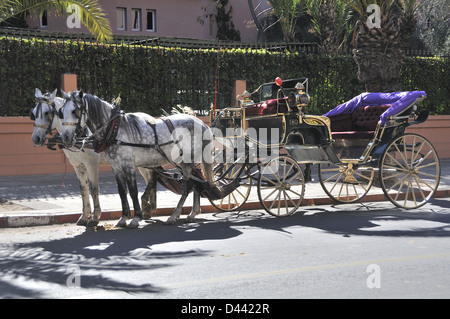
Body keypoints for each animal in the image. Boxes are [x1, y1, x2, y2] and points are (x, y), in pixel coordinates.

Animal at [30, 89, 156, 226]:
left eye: (46, 113)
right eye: (33, 113)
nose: (36, 138)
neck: (81, 135)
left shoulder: (91, 165)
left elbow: (94, 189)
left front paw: (95, 217)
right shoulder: (78, 167)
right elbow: (83, 190)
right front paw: (85, 216)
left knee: (152, 178)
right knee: (149, 179)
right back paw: (148, 207)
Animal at [58, 91, 214, 229]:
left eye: (75, 111)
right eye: (61, 112)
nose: (65, 137)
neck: (114, 130)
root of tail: (201, 123)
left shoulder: (128, 166)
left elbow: (133, 191)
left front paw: (136, 218)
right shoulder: (117, 168)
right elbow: (122, 192)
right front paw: (123, 218)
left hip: (187, 160)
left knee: (187, 186)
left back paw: (174, 215)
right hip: (188, 162)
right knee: (195, 183)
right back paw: (192, 214)